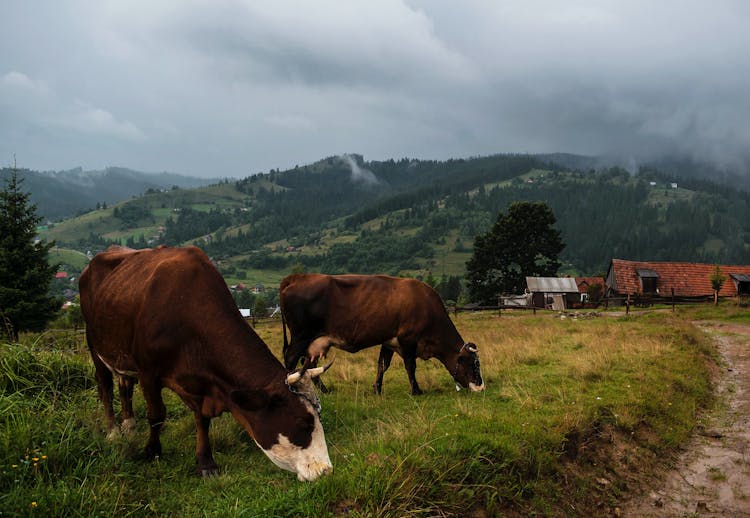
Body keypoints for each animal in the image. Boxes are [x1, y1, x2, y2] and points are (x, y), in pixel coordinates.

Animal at [78, 246, 332, 482]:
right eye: (303, 423)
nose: (326, 470)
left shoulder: (204, 382)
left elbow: (202, 419)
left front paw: (205, 462)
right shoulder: (147, 372)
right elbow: (156, 415)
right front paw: (152, 451)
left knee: (125, 386)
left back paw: (129, 426)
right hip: (94, 344)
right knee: (106, 388)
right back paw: (113, 431)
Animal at [282, 274, 488, 396]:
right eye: (473, 363)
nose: (481, 386)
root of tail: (297, 278)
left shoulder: (389, 341)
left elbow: (382, 365)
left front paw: (377, 388)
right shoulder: (408, 341)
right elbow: (410, 366)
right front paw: (416, 390)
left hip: (313, 342)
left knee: (309, 365)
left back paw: (324, 390)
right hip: (301, 337)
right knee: (291, 359)